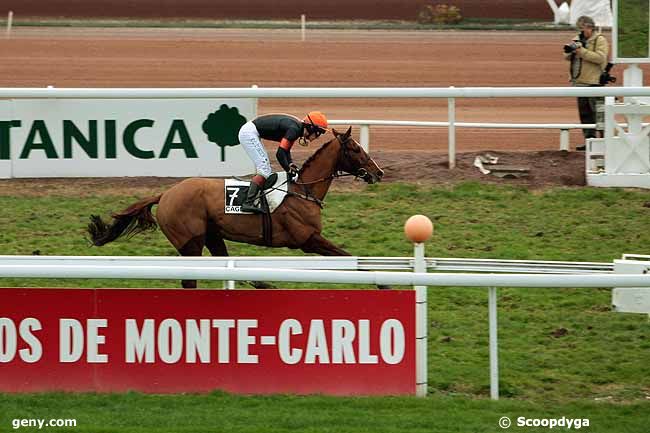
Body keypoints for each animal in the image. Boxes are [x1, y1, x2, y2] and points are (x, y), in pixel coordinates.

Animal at [85, 128, 380, 288]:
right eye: (356, 149)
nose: (379, 172)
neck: (302, 191)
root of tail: (166, 193)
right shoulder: (309, 240)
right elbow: (353, 260)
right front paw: (380, 281)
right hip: (190, 242)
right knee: (189, 280)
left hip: (212, 236)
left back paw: (261, 283)